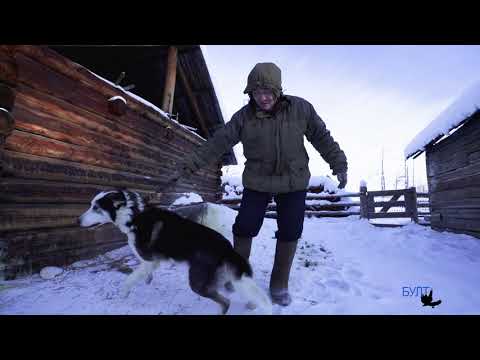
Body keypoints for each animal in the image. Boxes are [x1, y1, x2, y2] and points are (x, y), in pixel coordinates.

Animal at [80, 190, 272, 314]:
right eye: (90, 205)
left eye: (96, 208)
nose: (77, 220)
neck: (133, 216)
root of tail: (227, 248)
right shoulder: (150, 262)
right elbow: (143, 272)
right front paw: (147, 279)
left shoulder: (150, 259)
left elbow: (130, 279)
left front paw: (124, 293)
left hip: (197, 283)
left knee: (226, 302)